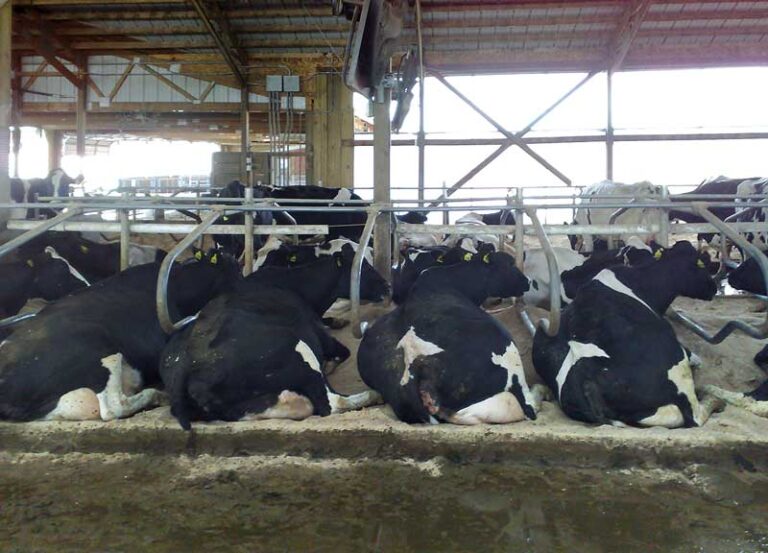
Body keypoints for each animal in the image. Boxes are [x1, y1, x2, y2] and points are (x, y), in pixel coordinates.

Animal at [160, 247, 390, 429]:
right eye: (365, 269)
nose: (387, 287)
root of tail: (183, 364)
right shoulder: (320, 334)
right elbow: (344, 351)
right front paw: (331, 362)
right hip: (298, 350)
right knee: (331, 403)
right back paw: (375, 394)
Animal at [532, 241, 723, 428]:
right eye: (700, 263)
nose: (713, 288)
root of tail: (583, 373)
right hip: (678, 368)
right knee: (694, 415)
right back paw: (713, 398)